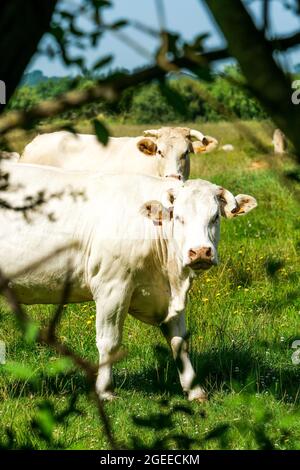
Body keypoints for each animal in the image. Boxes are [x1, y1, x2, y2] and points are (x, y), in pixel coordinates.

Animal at [0, 163, 258, 402]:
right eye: (179, 218)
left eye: (215, 217)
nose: (200, 252)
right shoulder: (112, 288)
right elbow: (109, 342)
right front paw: (105, 391)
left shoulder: (170, 296)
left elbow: (179, 342)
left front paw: (195, 390)